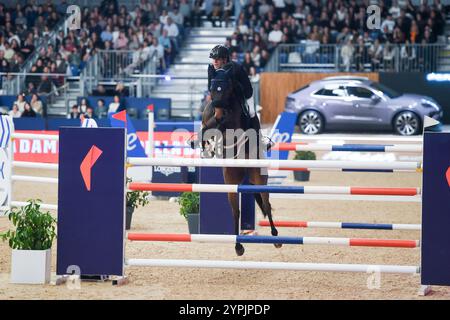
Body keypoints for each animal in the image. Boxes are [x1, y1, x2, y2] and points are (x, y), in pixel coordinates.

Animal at [200, 67, 280, 255]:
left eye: (226, 89)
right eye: (212, 89)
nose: (218, 113)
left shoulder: (233, 123)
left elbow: (221, 127)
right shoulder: (208, 120)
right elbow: (205, 129)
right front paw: (207, 146)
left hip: (259, 178)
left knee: (266, 204)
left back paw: (275, 237)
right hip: (231, 181)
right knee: (236, 211)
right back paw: (238, 246)